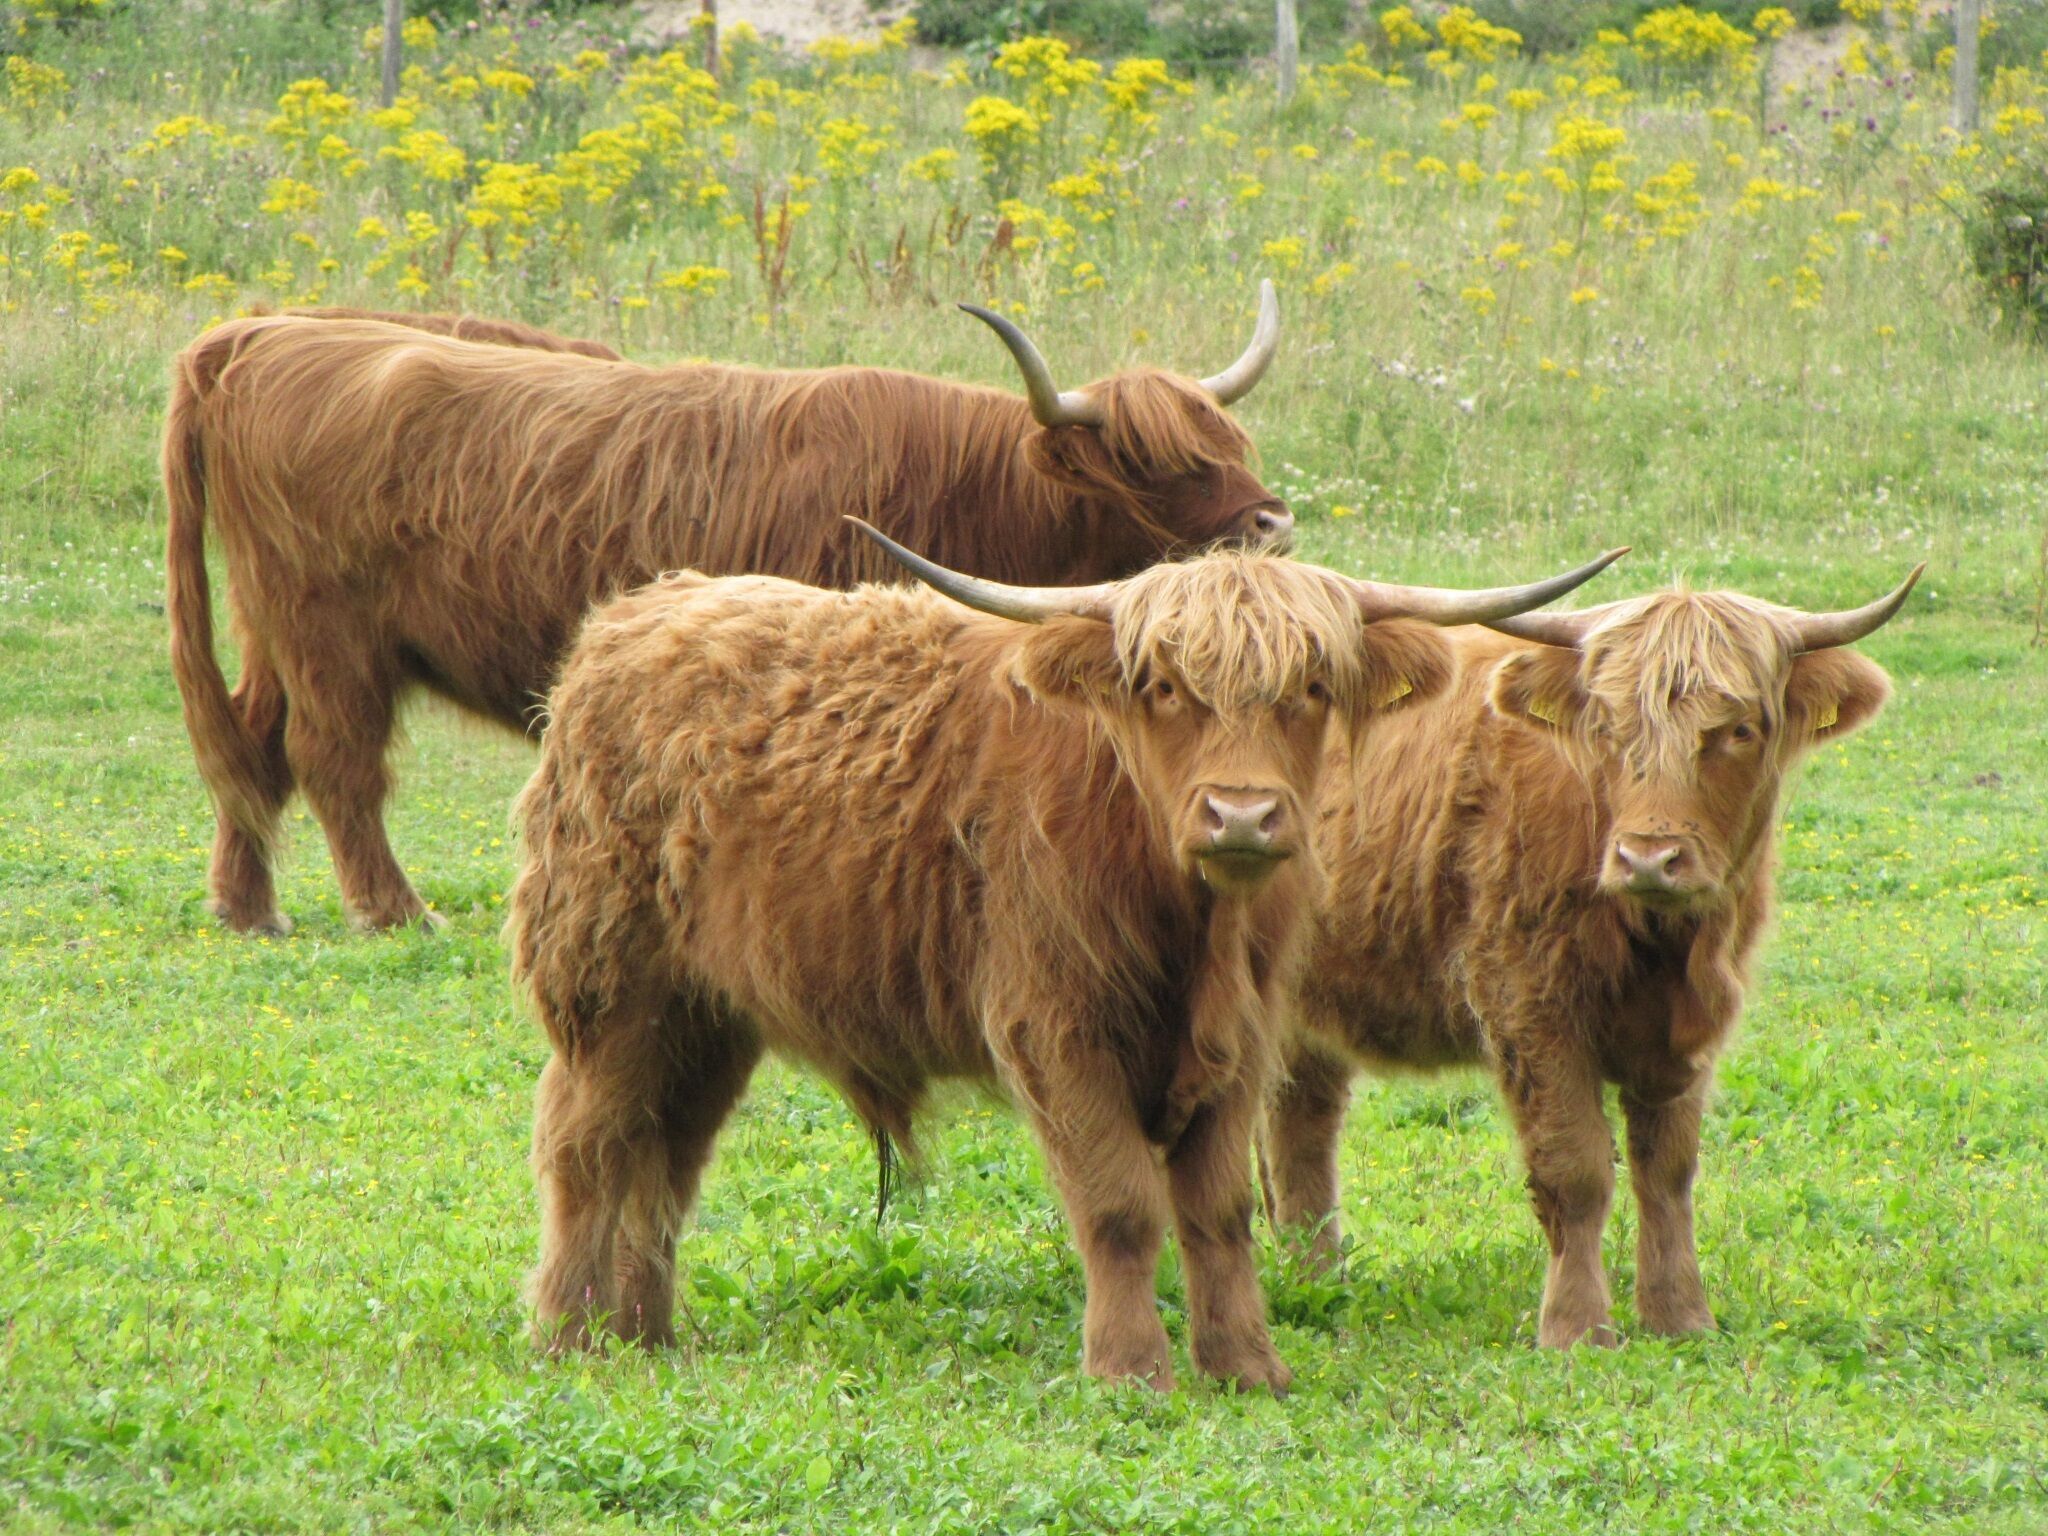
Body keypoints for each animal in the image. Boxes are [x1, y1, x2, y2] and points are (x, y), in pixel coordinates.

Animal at [163, 286, 1295, 937]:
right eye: (1152, 466)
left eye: (1228, 443)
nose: (1272, 522)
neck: (967, 490)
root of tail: (252, 337)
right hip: (330, 634)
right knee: (333, 762)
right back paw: (397, 914)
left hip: (276, 628)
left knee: (252, 747)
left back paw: (247, 909)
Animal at [504, 523, 1624, 1391]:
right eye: (1163, 686)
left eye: (1310, 685)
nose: (1242, 814)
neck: (1186, 919)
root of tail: (642, 611)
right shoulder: (1055, 1025)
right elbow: (1121, 1202)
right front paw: (1131, 1370)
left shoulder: (1243, 1039)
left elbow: (1218, 1209)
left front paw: (1246, 1365)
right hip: (609, 982)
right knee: (586, 1144)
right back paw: (567, 1337)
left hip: (707, 1014)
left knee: (664, 1155)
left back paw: (646, 1335)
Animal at [1262, 568, 1922, 1348]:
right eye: (1608, 728)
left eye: (1738, 730)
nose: (1650, 858)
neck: (1662, 943)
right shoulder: (1529, 1007)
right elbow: (1574, 1169)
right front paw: (1577, 1327)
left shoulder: (1688, 1029)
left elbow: (1667, 1170)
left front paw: (1680, 1315)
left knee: (1303, 1127)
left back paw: (1314, 1280)